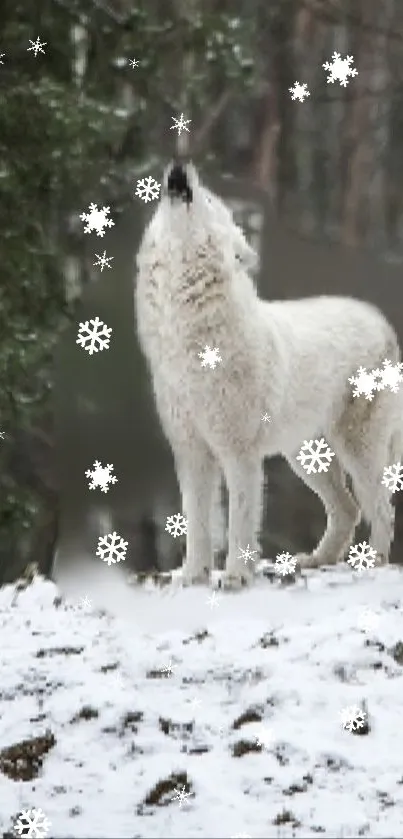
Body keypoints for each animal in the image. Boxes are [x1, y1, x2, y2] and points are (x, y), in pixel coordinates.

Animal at [135, 159, 400, 592]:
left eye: (209, 200)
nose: (179, 167)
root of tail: (381, 321)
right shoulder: (191, 452)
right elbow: (196, 522)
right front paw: (192, 575)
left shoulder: (238, 452)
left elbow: (239, 520)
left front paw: (235, 576)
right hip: (306, 458)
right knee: (348, 509)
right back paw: (316, 560)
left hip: (357, 451)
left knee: (381, 509)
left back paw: (371, 566)